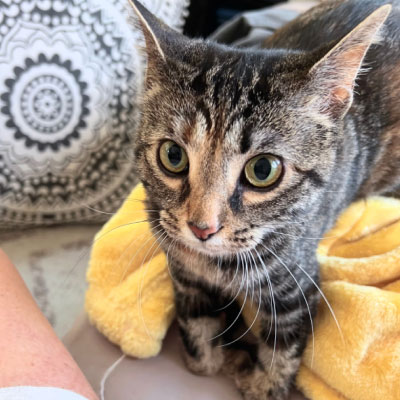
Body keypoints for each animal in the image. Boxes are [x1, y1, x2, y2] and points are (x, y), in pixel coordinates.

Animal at [130, 1, 398, 398]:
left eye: (263, 169)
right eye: (172, 156)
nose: (201, 228)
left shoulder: (297, 283)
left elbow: (282, 351)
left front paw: (258, 378)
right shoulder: (182, 270)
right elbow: (197, 335)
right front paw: (215, 354)